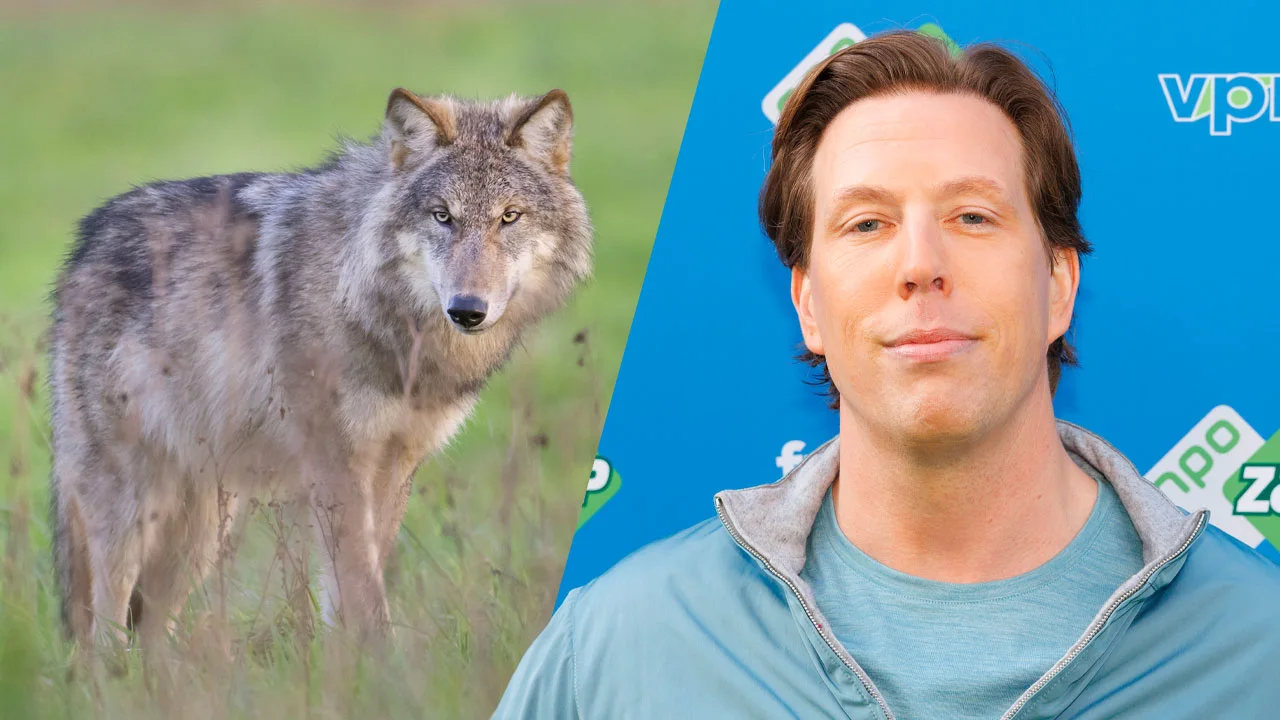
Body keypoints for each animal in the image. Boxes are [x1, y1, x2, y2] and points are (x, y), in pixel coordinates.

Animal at [49, 87, 593, 652]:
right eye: (443, 216)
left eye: (510, 217)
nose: (467, 309)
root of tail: (84, 246)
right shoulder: (335, 462)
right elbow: (362, 588)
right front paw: (377, 664)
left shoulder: (394, 466)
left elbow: (353, 586)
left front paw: (348, 664)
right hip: (131, 506)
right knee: (102, 631)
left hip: (203, 528)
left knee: (152, 633)